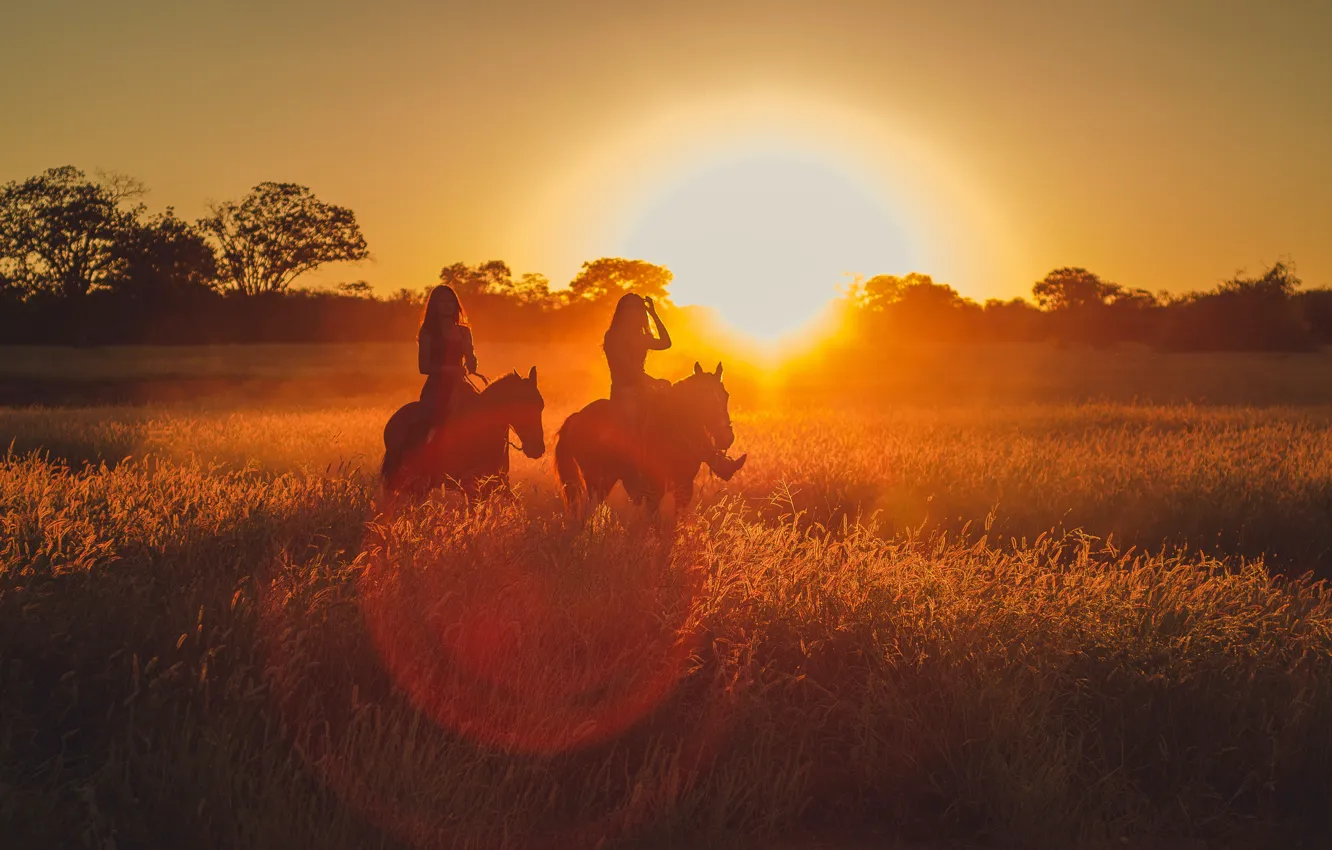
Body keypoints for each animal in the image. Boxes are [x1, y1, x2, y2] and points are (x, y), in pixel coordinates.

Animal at [555, 361, 736, 512]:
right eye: (703, 398)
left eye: (726, 396)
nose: (727, 438)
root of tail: (576, 417)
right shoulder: (654, 491)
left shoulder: (684, 488)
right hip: (597, 480)